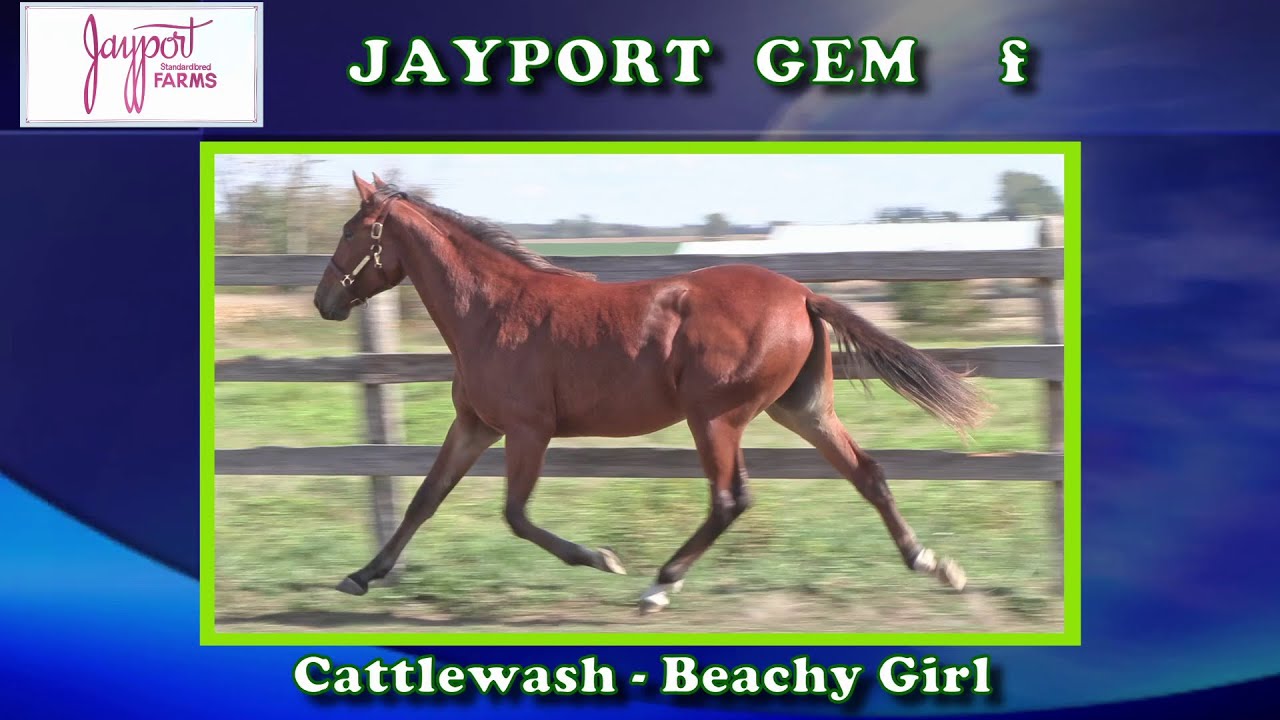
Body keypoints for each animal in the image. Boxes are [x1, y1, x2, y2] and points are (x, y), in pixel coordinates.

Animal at [312, 172, 988, 613]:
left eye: (350, 231)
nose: (324, 301)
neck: (492, 310)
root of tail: (801, 294)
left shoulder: (528, 430)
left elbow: (516, 515)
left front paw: (602, 558)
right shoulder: (475, 425)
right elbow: (423, 500)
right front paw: (362, 576)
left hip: (715, 417)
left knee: (730, 499)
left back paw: (659, 585)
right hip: (803, 409)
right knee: (867, 473)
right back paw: (936, 566)